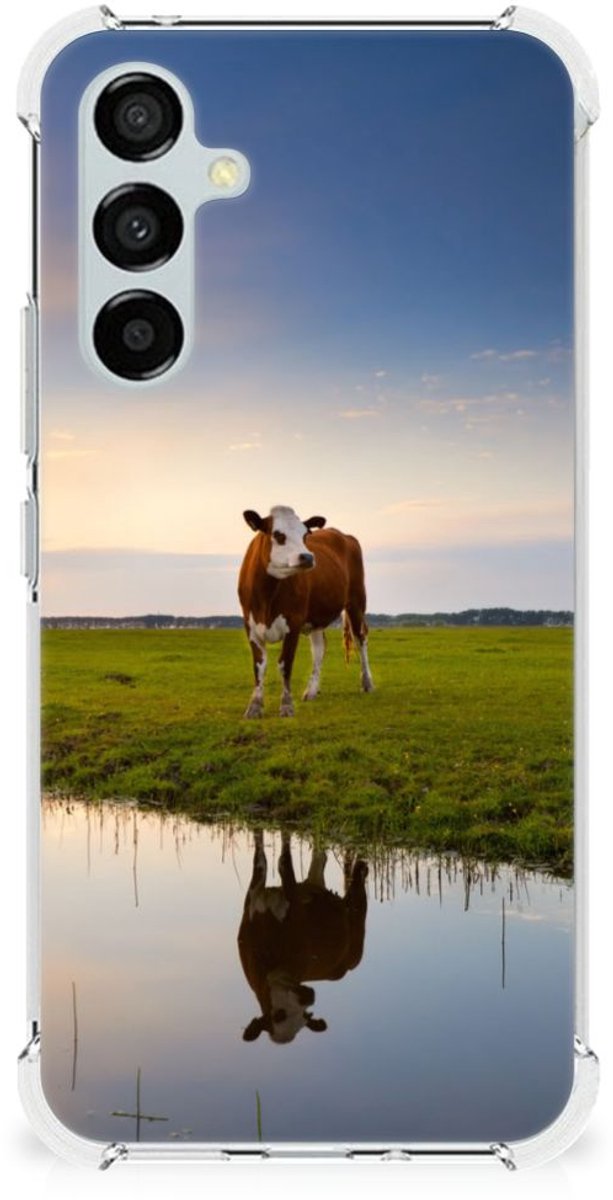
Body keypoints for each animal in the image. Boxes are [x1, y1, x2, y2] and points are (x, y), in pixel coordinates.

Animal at [237, 831, 368, 1045]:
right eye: (278, 1015)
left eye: (305, 1017)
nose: (308, 997)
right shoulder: (253, 897)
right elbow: (261, 858)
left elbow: (283, 862)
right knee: (320, 857)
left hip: (357, 928)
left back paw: (361, 867)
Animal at [238, 505, 374, 718]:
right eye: (278, 535)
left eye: (305, 535)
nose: (308, 557)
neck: (266, 595)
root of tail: (344, 535)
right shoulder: (250, 625)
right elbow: (259, 666)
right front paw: (254, 706)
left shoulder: (293, 623)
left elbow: (285, 664)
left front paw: (286, 706)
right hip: (316, 617)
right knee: (319, 648)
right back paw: (311, 690)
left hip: (357, 602)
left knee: (361, 639)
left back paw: (367, 682)